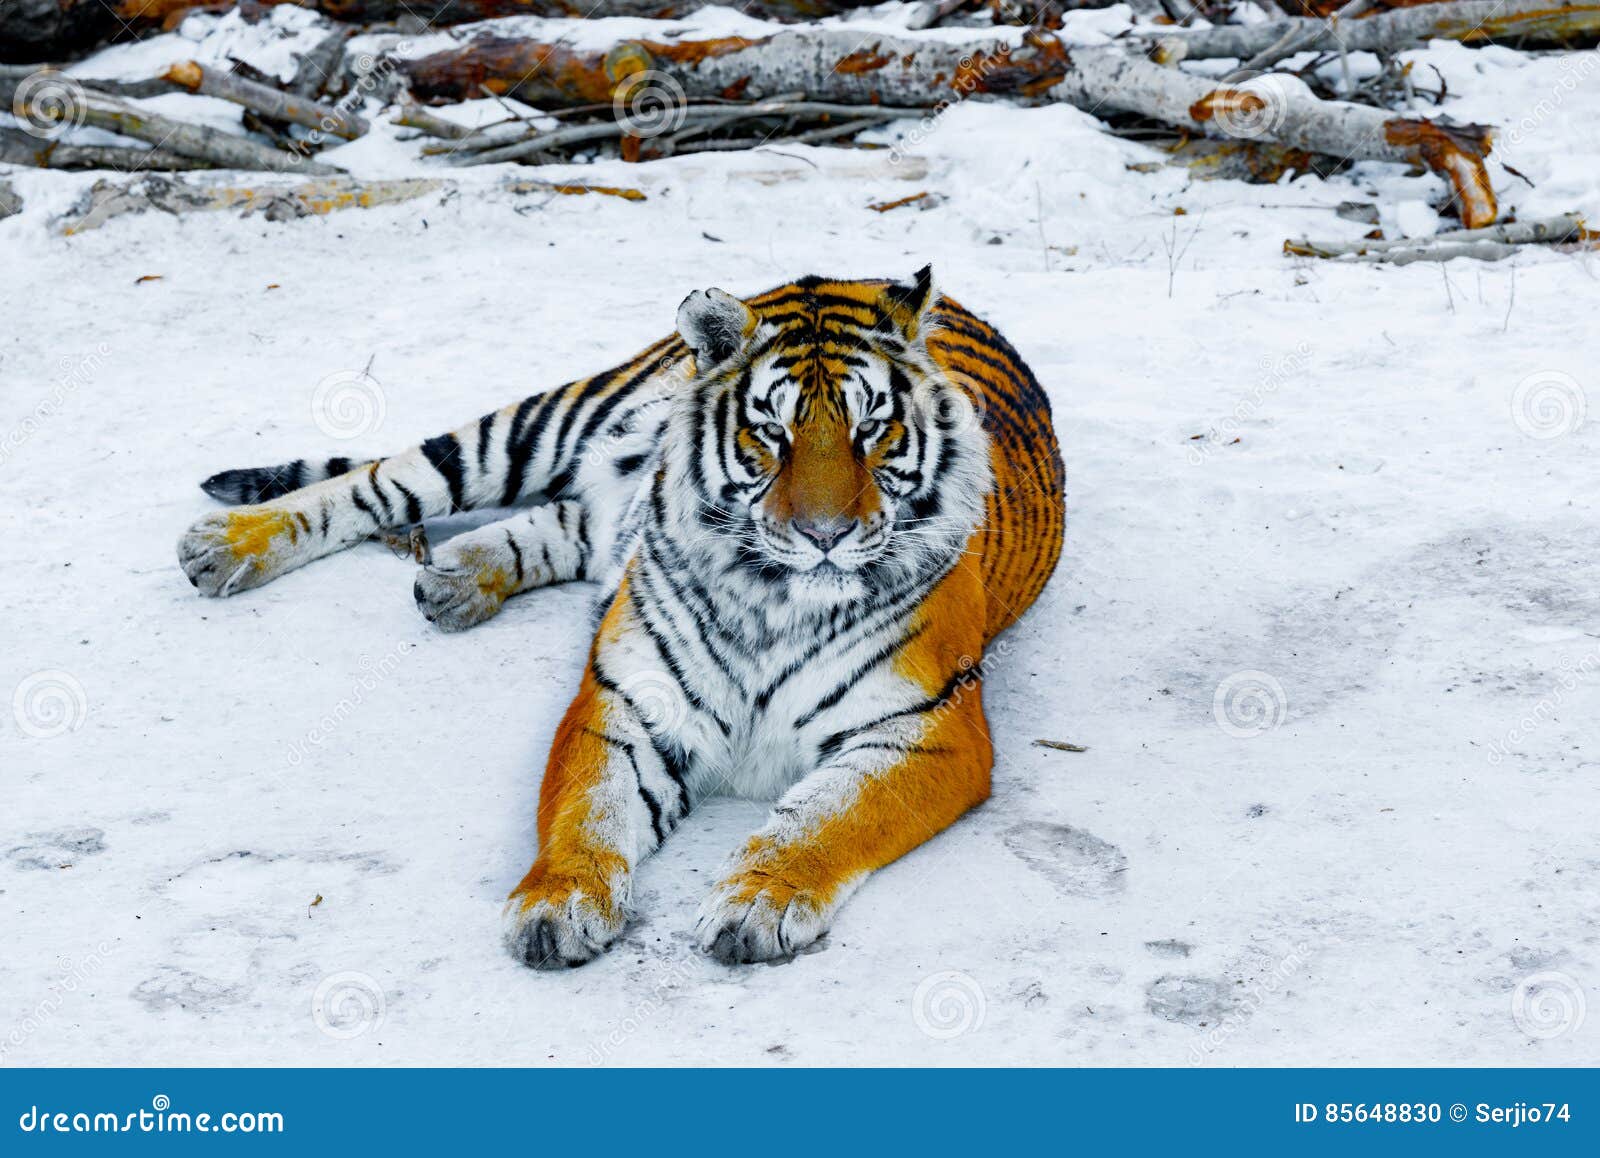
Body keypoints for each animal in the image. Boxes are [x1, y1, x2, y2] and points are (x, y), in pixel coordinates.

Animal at [177, 268, 1065, 967]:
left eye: (872, 428)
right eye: (770, 431)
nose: (824, 535)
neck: (772, 594)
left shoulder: (927, 729)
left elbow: (822, 821)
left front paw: (760, 903)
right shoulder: (626, 701)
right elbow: (590, 808)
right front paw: (558, 905)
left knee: (567, 520)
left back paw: (458, 578)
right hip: (530, 429)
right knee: (376, 482)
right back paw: (224, 546)